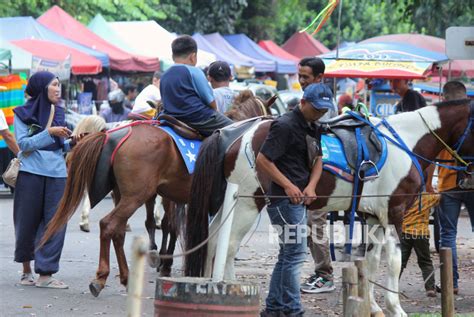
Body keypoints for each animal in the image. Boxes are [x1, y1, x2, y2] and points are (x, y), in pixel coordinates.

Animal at [41, 90, 274, 296]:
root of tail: (114, 134)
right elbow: (174, 227)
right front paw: (167, 261)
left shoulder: (175, 197)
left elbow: (173, 226)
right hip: (136, 196)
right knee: (108, 224)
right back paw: (101, 277)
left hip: (124, 195)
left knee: (118, 230)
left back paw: (126, 276)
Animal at [186, 99, 474, 316]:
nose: (467, 177)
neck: (405, 142)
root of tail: (233, 135)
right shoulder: (394, 213)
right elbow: (393, 261)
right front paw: (396, 309)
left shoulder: (373, 217)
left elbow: (371, 262)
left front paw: (374, 307)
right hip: (247, 203)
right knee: (229, 245)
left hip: (231, 204)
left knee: (213, 241)